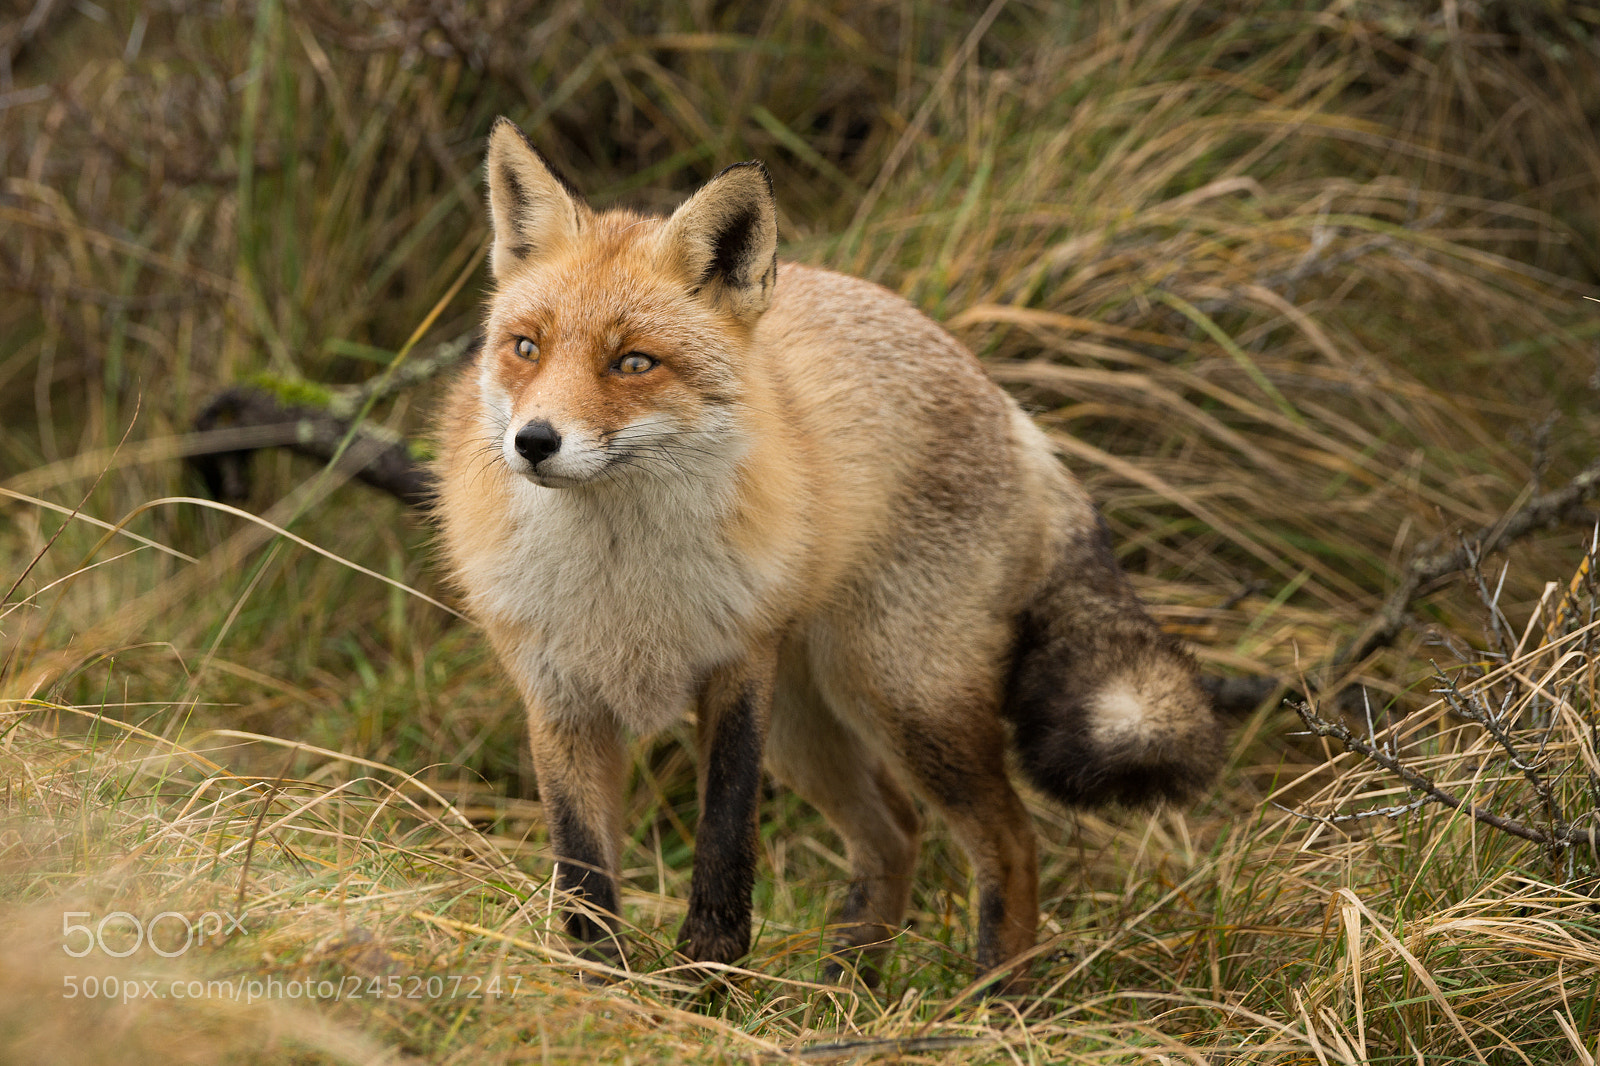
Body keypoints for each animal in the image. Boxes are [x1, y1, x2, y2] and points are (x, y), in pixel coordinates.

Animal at [433, 116, 1228, 985]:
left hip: (902, 696)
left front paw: (706, 972)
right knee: (897, 833)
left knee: (1011, 844)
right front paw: (607, 987)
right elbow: (584, 882)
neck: (622, 585)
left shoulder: (738, 670)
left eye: (633, 362)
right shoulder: (559, 695)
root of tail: (1003, 401)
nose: (534, 441)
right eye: (526, 347)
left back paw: (992, 999)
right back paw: (847, 985)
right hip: (813, 722)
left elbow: (724, 838)